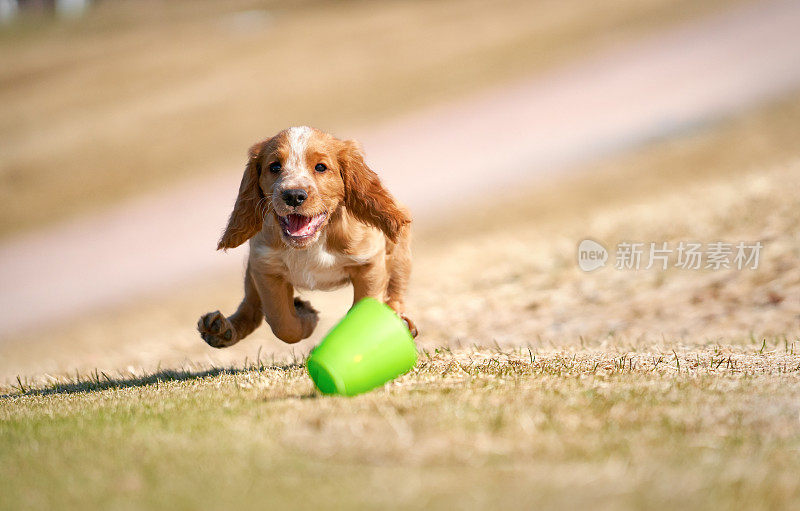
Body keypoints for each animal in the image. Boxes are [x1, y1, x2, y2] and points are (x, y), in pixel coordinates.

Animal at [198, 126, 418, 350]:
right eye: (274, 167)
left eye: (320, 167)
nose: (293, 195)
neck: (313, 242)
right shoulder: (265, 267)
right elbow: (283, 324)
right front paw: (307, 316)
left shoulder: (369, 263)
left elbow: (364, 309)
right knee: (250, 306)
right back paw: (221, 330)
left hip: (399, 253)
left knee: (396, 290)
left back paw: (401, 322)